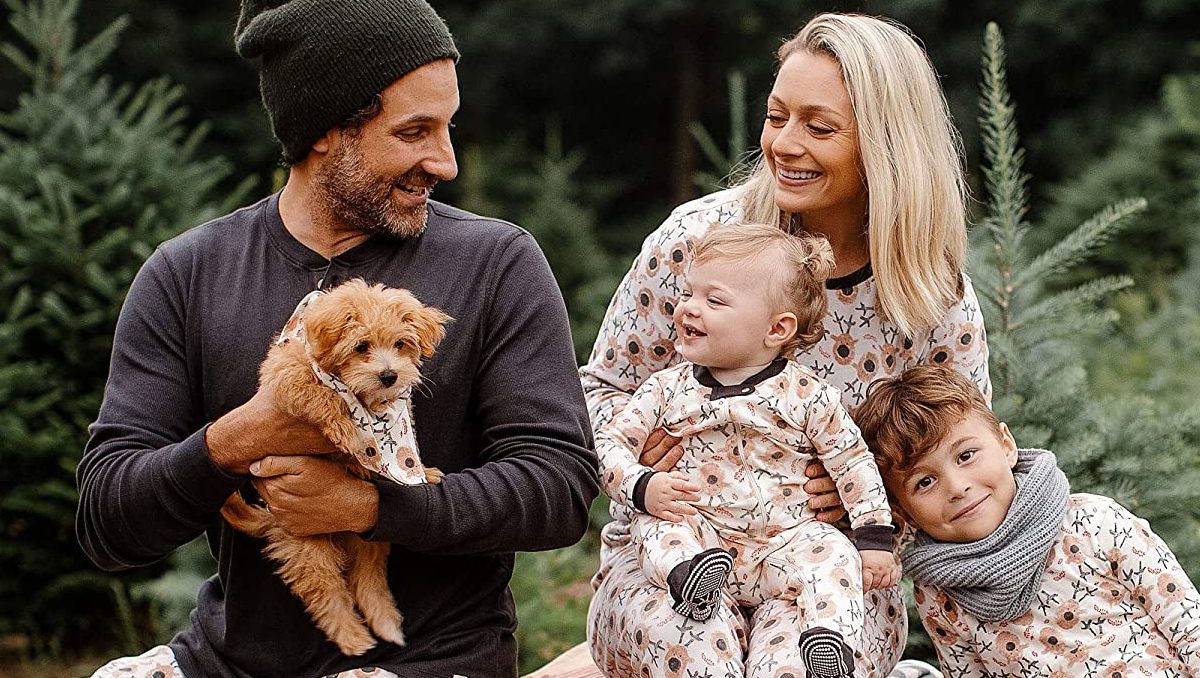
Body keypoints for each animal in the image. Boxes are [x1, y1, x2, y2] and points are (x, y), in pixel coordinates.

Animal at [220, 277, 451, 652]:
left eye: (400, 344)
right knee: (327, 597)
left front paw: (419, 470)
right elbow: (321, 396)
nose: (389, 376)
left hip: (370, 537)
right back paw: (354, 639)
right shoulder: (288, 376)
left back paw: (385, 624)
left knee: (366, 580)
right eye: (361, 346)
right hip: (309, 551)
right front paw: (345, 430)